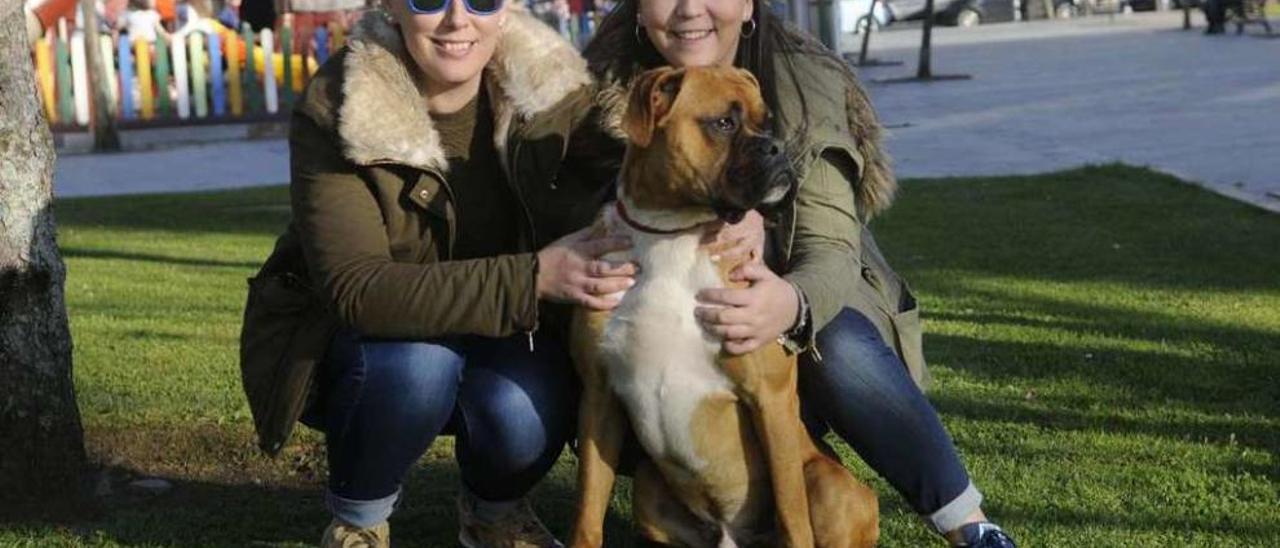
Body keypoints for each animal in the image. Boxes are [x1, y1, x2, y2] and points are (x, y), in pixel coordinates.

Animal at [570, 67, 880, 548]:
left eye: (766, 121)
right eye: (724, 123)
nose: (775, 145)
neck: (671, 235)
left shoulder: (770, 399)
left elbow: (792, 515)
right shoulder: (599, 397)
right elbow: (587, 510)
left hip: (832, 488)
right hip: (648, 487)